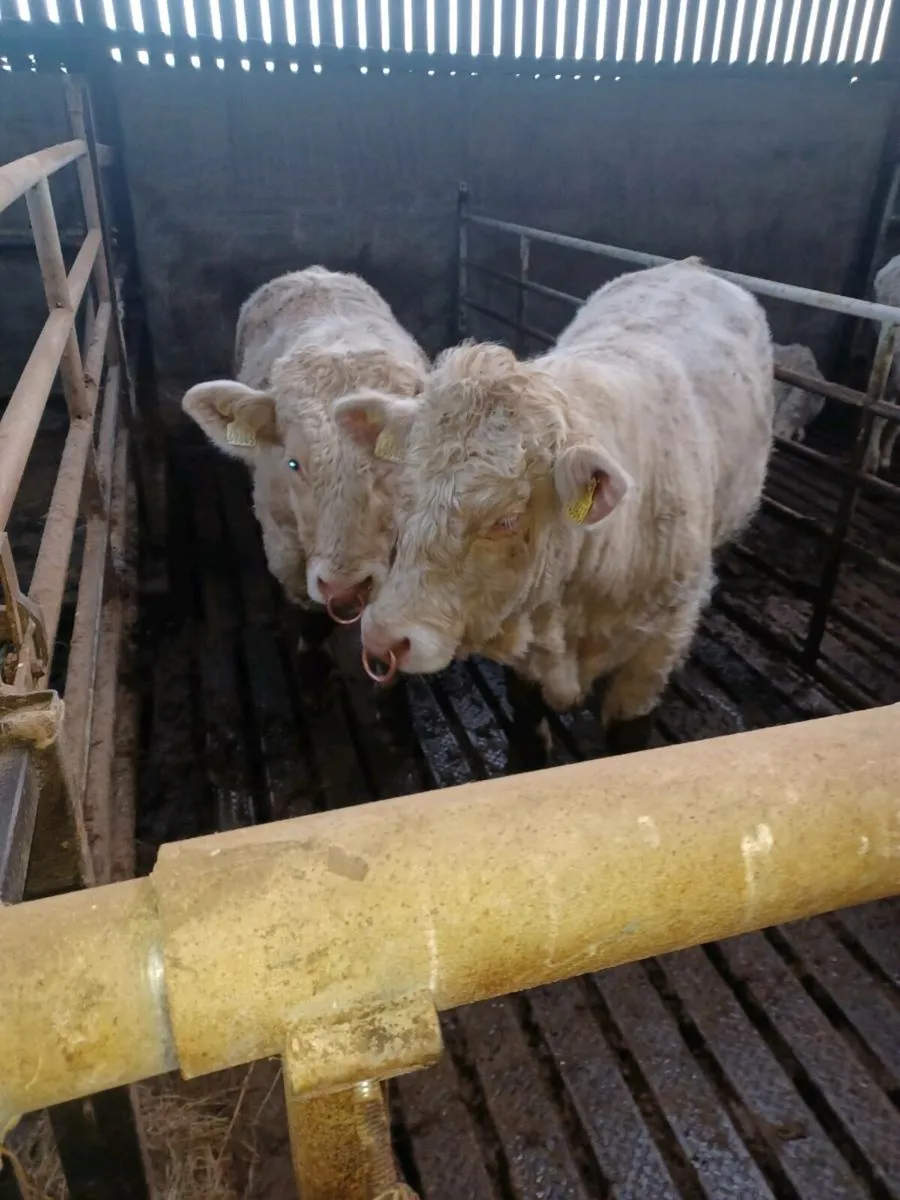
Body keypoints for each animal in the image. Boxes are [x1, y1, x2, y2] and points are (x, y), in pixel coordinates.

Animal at [335, 259, 774, 769]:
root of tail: (690, 265)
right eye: (403, 491)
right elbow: (528, 730)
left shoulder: (659, 646)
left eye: (506, 520)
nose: (384, 637)